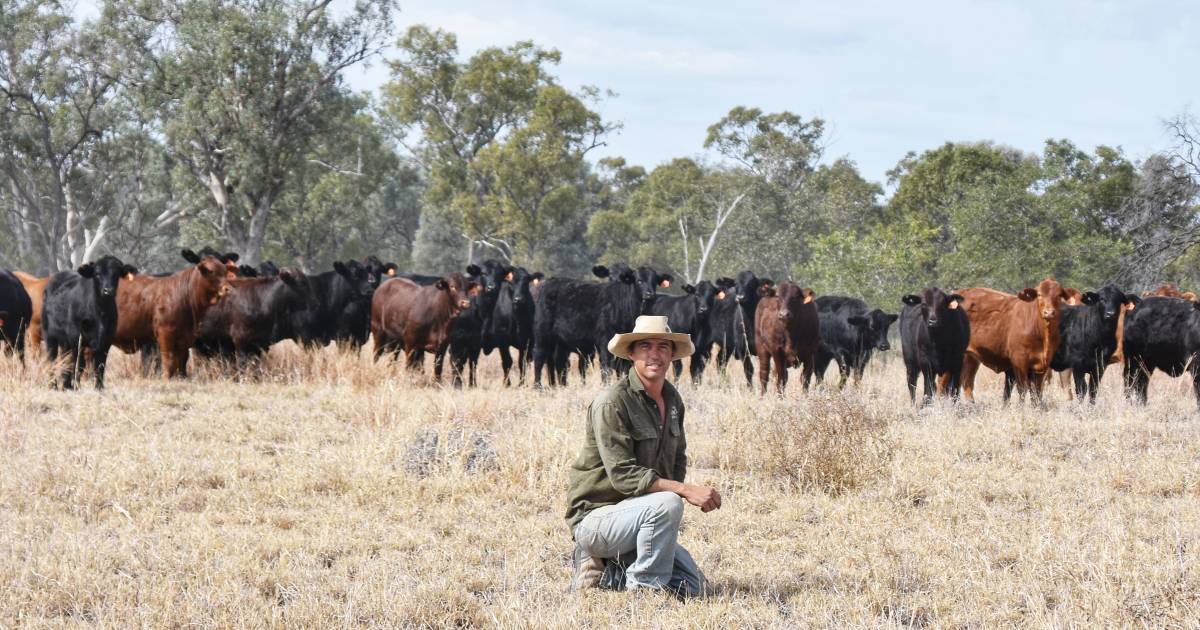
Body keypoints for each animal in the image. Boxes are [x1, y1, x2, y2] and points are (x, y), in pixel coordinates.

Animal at [42, 255, 137, 388]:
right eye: (97, 274)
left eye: (116, 274)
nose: (108, 290)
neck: (100, 312)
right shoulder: (76, 338)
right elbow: (79, 364)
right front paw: (75, 386)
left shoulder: (106, 341)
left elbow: (100, 366)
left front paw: (99, 388)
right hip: (50, 337)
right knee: (52, 360)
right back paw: (54, 386)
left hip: (65, 342)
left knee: (64, 360)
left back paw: (65, 385)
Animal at [113, 249, 235, 379]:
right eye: (210, 271)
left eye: (225, 270)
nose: (227, 289)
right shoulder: (164, 335)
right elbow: (169, 362)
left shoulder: (185, 339)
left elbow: (180, 363)